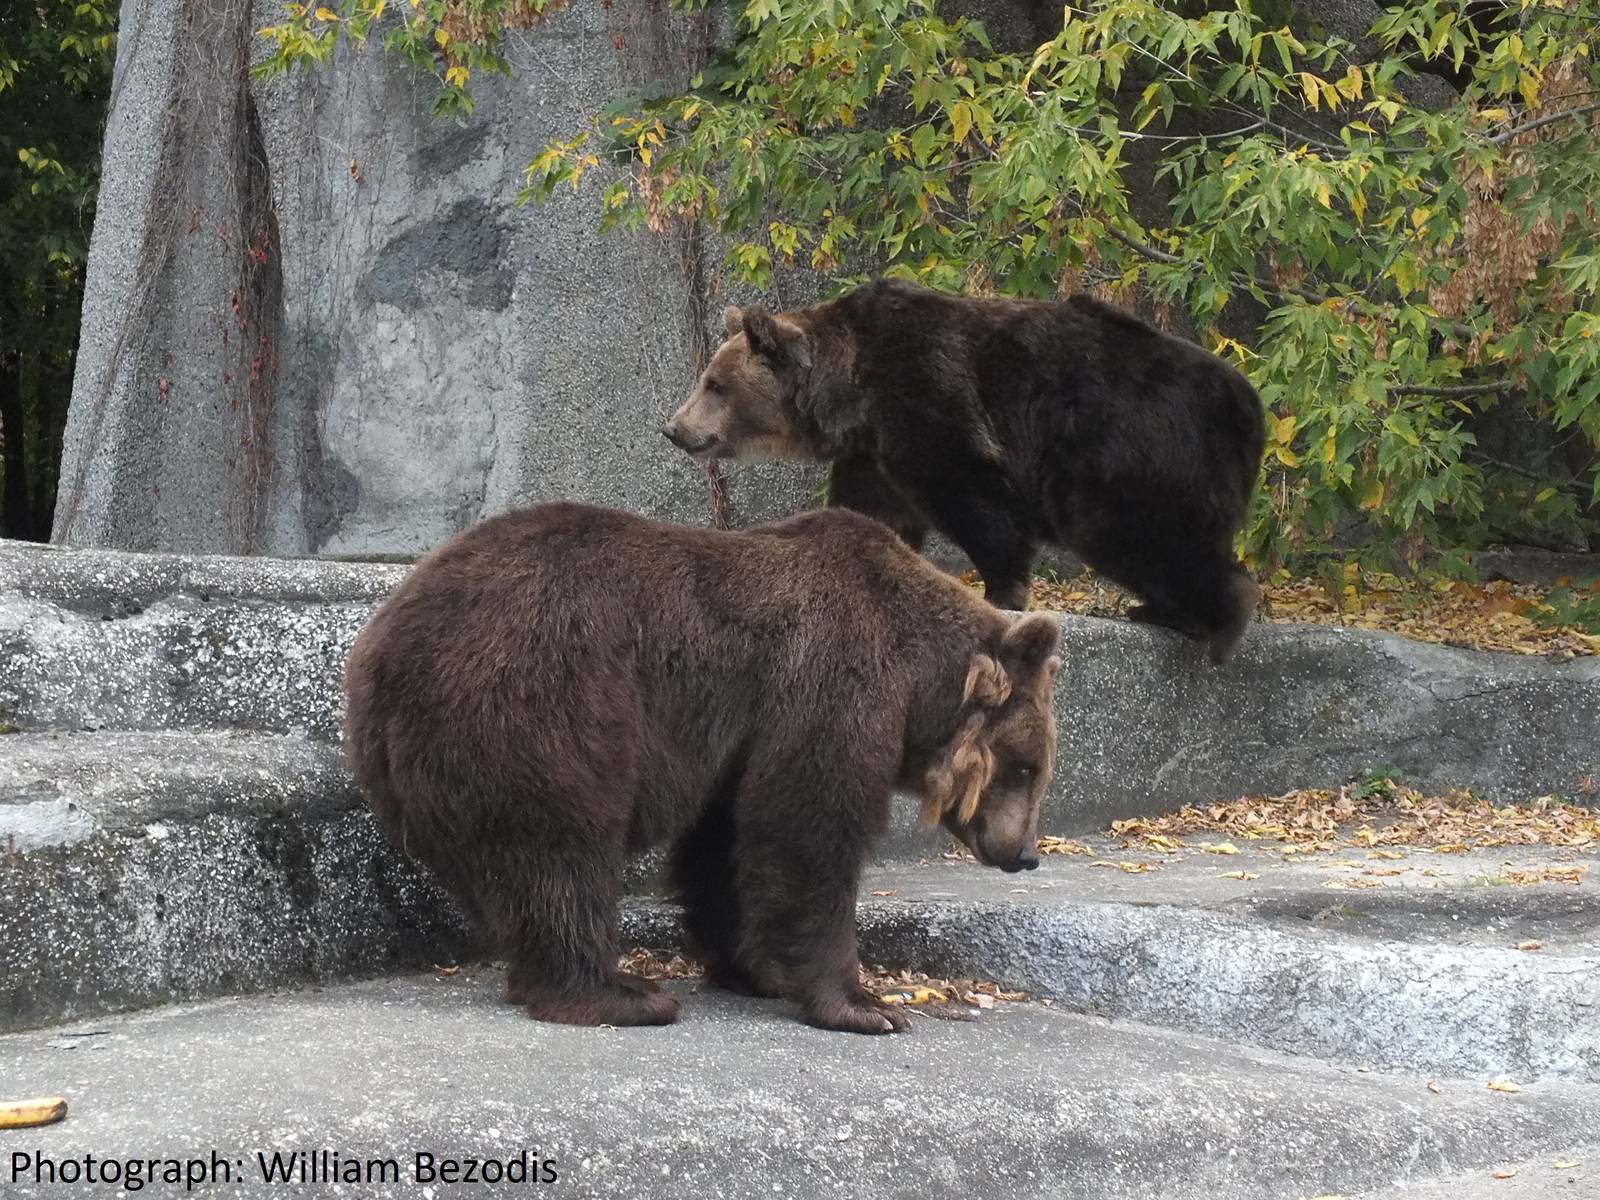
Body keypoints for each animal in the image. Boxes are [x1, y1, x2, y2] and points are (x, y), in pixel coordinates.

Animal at [343, 502, 1062, 1035]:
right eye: (1027, 768)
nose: (1026, 854)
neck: (915, 681)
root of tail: (379, 651)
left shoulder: (742, 738)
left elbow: (724, 845)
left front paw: (755, 969)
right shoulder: (832, 682)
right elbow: (811, 828)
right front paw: (864, 1006)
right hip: (542, 693)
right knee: (563, 845)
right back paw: (622, 993)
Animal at [663, 278, 1267, 664]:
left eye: (714, 384)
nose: (674, 428)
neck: (850, 390)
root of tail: (1249, 406)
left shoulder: (925, 392)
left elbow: (970, 493)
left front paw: (1002, 590)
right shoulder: (871, 449)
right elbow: (871, 510)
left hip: (1126, 447)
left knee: (1140, 533)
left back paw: (1215, 622)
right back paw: (1159, 610)